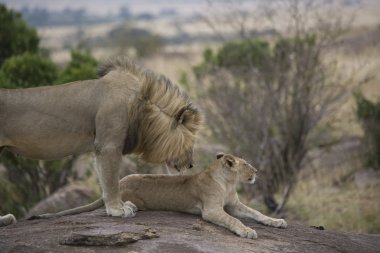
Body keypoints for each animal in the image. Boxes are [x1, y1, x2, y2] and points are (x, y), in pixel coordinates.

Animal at [0, 57, 202, 225]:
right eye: (190, 143)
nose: (191, 165)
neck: (143, 111)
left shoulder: (102, 147)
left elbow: (105, 178)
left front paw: (119, 205)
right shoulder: (108, 145)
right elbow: (111, 179)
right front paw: (118, 209)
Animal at [33, 153, 288, 238]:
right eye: (246, 165)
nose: (257, 172)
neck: (228, 183)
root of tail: (121, 180)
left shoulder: (236, 204)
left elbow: (256, 213)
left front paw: (277, 221)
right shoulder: (211, 210)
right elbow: (233, 220)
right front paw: (247, 231)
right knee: (113, 202)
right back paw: (129, 208)